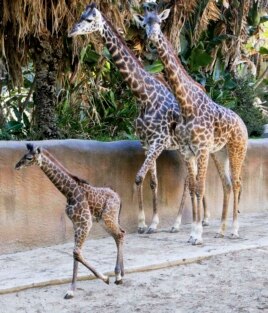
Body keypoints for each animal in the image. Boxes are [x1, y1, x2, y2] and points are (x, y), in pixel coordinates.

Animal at [15, 143, 125, 298]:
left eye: (29, 157)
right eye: (24, 155)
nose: (17, 166)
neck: (69, 192)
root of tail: (119, 197)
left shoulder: (85, 223)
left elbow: (76, 252)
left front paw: (105, 278)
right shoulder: (76, 223)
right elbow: (76, 254)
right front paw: (71, 290)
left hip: (108, 218)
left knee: (120, 234)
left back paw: (118, 276)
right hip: (104, 220)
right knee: (119, 234)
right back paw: (120, 275)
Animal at [68, 3, 199, 234]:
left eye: (90, 20)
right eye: (80, 16)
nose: (71, 31)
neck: (143, 96)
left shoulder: (159, 141)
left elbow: (138, 177)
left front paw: (145, 223)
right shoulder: (146, 142)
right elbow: (150, 182)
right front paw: (148, 223)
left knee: (190, 180)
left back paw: (179, 224)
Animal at [135, 6, 248, 241]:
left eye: (159, 22)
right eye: (145, 23)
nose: (152, 37)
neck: (186, 104)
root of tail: (243, 124)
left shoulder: (201, 149)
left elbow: (198, 187)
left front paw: (196, 234)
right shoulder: (188, 150)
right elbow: (194, 186)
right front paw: (194, 231)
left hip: (236, 150)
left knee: (238, 183)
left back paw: (234, 230)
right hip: (220, 153)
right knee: (227, 184)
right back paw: (221, 230)